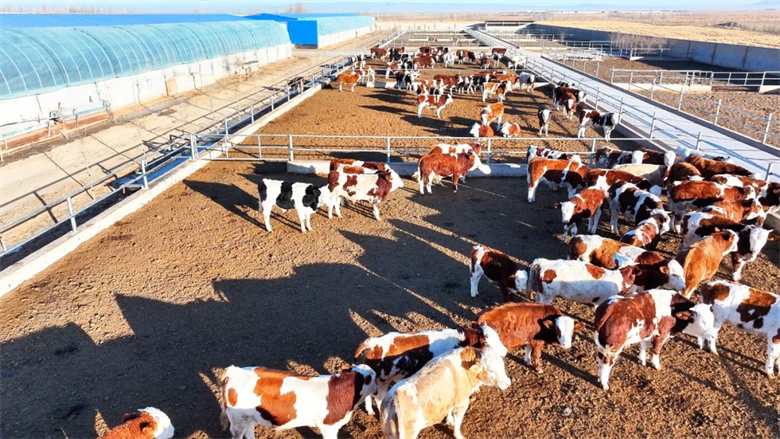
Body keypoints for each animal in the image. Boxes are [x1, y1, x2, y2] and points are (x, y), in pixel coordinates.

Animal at [220, 364, 377, 439]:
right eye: (374, 377)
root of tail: (235, 371)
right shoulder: (329, 427)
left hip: (249, 417)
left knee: (249, 432)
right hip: (238, 420)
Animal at [354, 323, 495, 415]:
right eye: (485, 341)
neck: (462, 340)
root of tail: (372, 342)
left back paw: (370, 411)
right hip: (383, 380)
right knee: (378, 399)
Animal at [380, 344, 510, 439]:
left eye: (502, 366)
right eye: (491, 370)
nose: (508, 383)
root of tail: (395, 396)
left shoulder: (451, 397)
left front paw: (449, 420)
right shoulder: (462, 402)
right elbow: (458, 422)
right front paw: (458, 435)